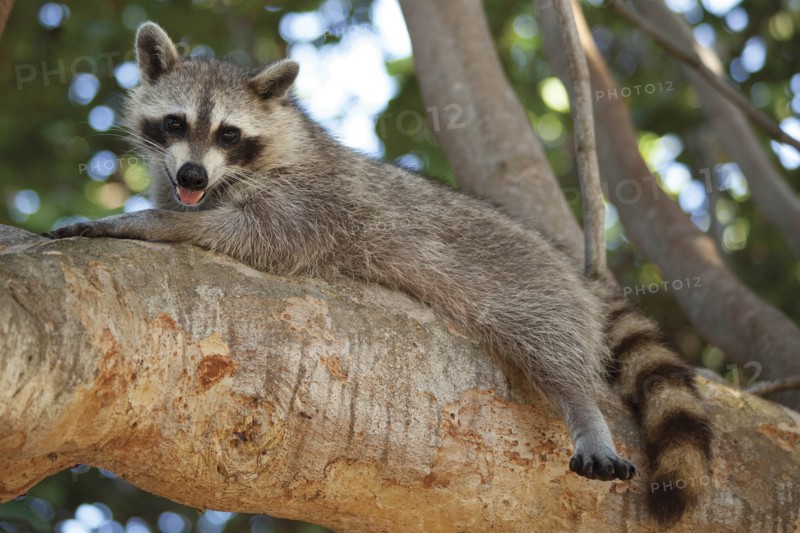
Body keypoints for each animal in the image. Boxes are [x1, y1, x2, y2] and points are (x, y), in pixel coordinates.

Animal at [50, 22, 710, 524]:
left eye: (229, 133)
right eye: (175, 123)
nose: (191, 176)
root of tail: (570, 269)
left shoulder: (309, 204)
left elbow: (250, 236)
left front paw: (145, 222)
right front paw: (161, 209)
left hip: (529, 285)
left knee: (551, 346)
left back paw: (583, 408)